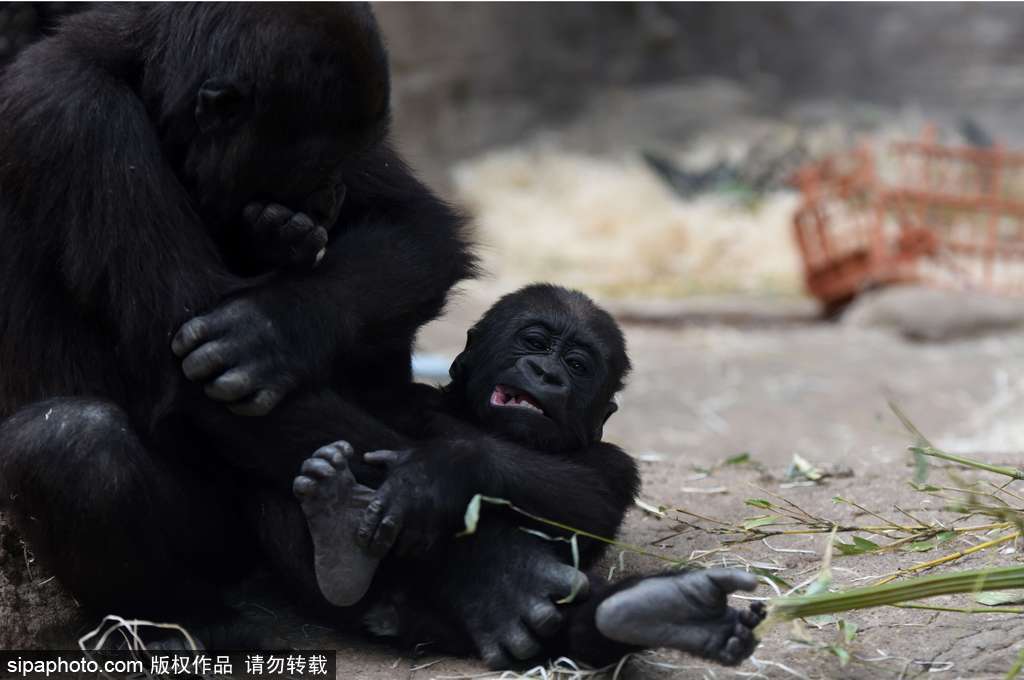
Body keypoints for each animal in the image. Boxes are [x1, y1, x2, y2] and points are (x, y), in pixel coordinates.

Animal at [292, 284, 765, 667]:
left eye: (577, 365)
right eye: (534, 342)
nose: (546, 373)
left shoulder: (613, 463)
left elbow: (589, 500)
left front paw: (441, 472)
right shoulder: (406, 399)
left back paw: (659, 612)